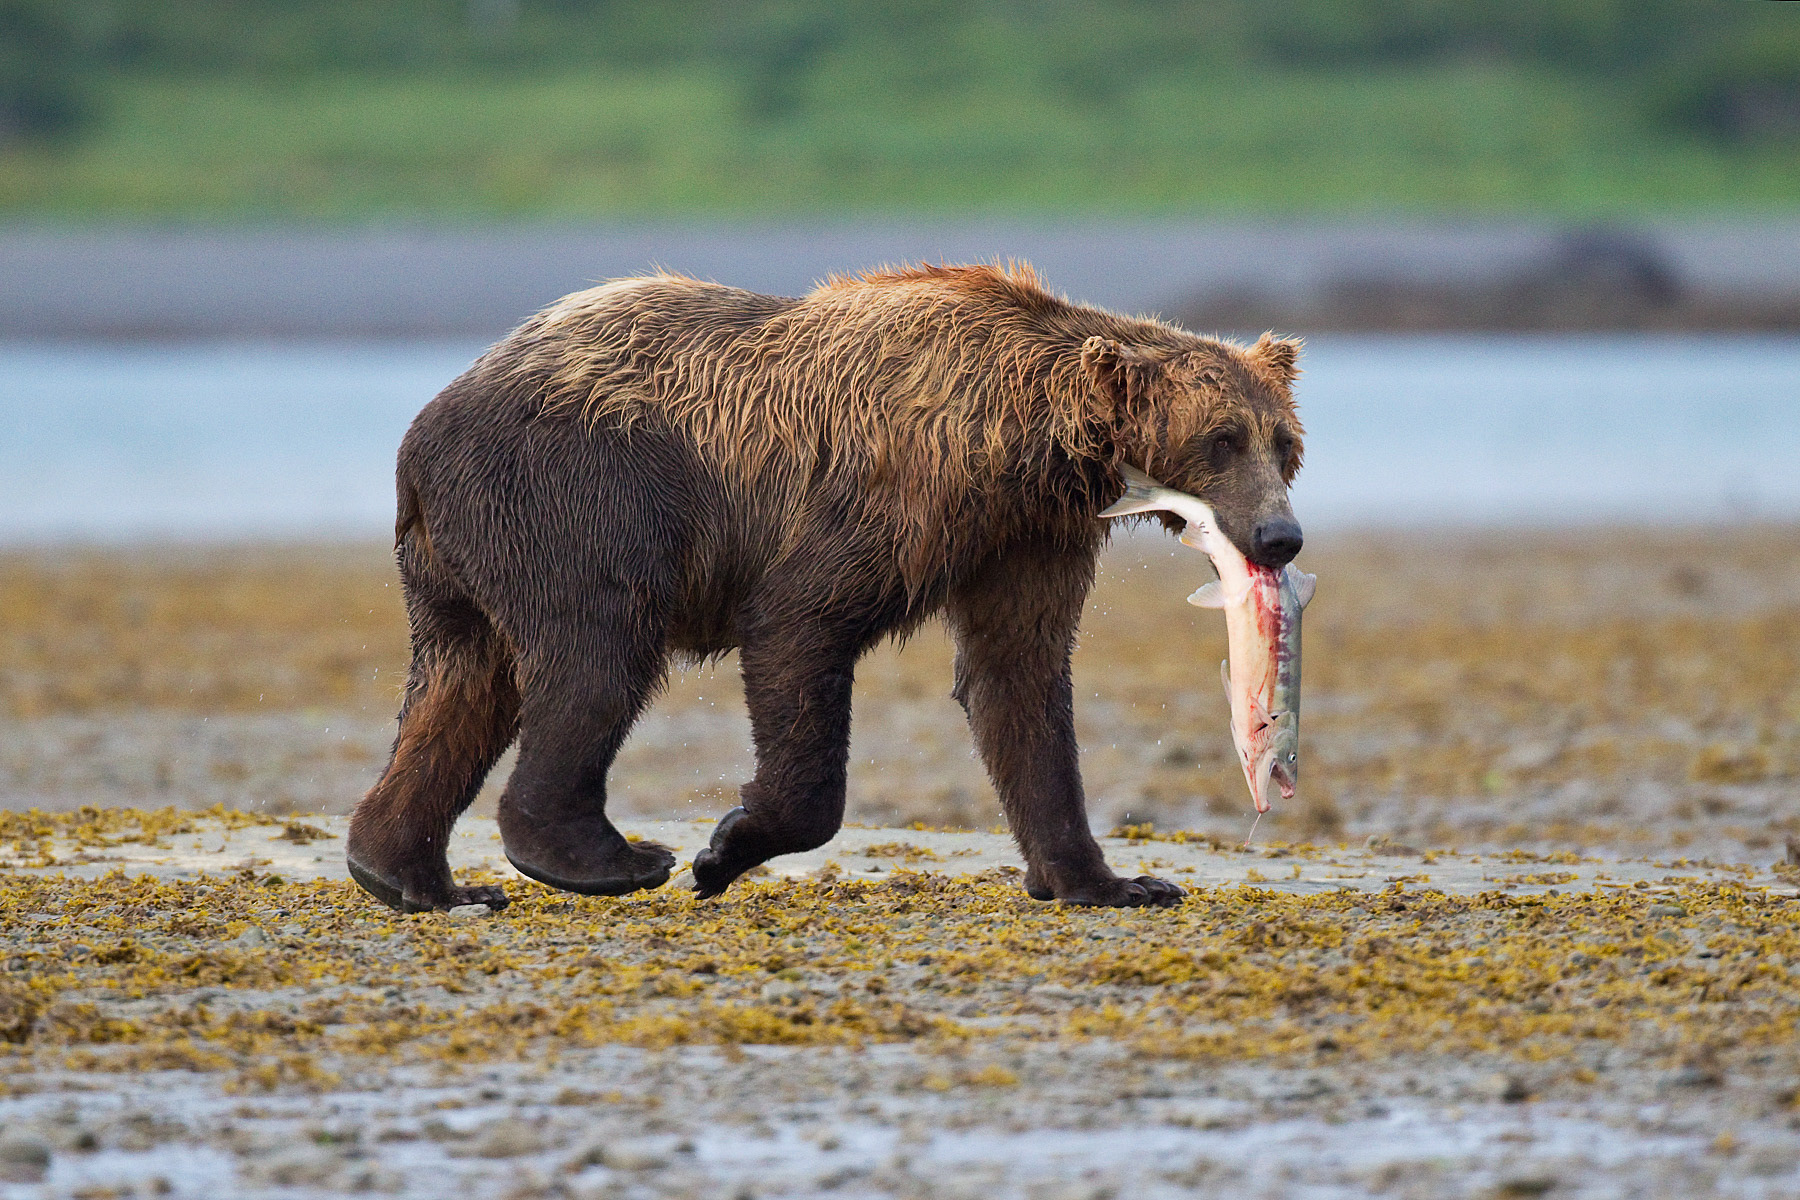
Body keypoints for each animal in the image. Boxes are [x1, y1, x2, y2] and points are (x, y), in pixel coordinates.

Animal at [345, 263, 1305, 914]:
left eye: (1284, 442)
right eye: (1222, 438)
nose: (1280, 535)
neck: (1025, 442)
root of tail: (420, 437)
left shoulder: (1022, 537)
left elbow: (1018, 682)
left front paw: (1113, 879)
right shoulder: (889, 495)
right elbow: (800, 627)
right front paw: (726, 846)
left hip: (460, 562)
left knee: (466, 686)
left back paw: (410, 874)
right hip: (579, 494)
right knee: (598, 655)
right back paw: (607, 858)